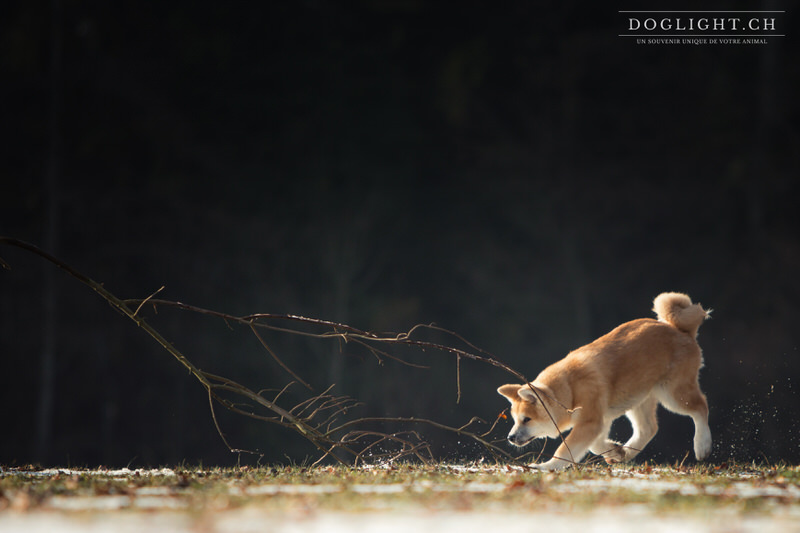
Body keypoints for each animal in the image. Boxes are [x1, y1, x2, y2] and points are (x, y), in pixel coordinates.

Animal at [500, 290, 712, 470]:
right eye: (515, 419)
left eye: (526, 419)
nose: (510, 437)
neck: (570, 389)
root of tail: (681, 331)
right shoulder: (599, 419)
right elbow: (595, 444)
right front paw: (615, 451)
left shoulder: (591, 421)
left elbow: (566, 449)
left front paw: (546, 467)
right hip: (638, 398)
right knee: (648, 429)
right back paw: (626, 453)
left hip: (673, 393)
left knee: (701, 407)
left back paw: (702, 445)